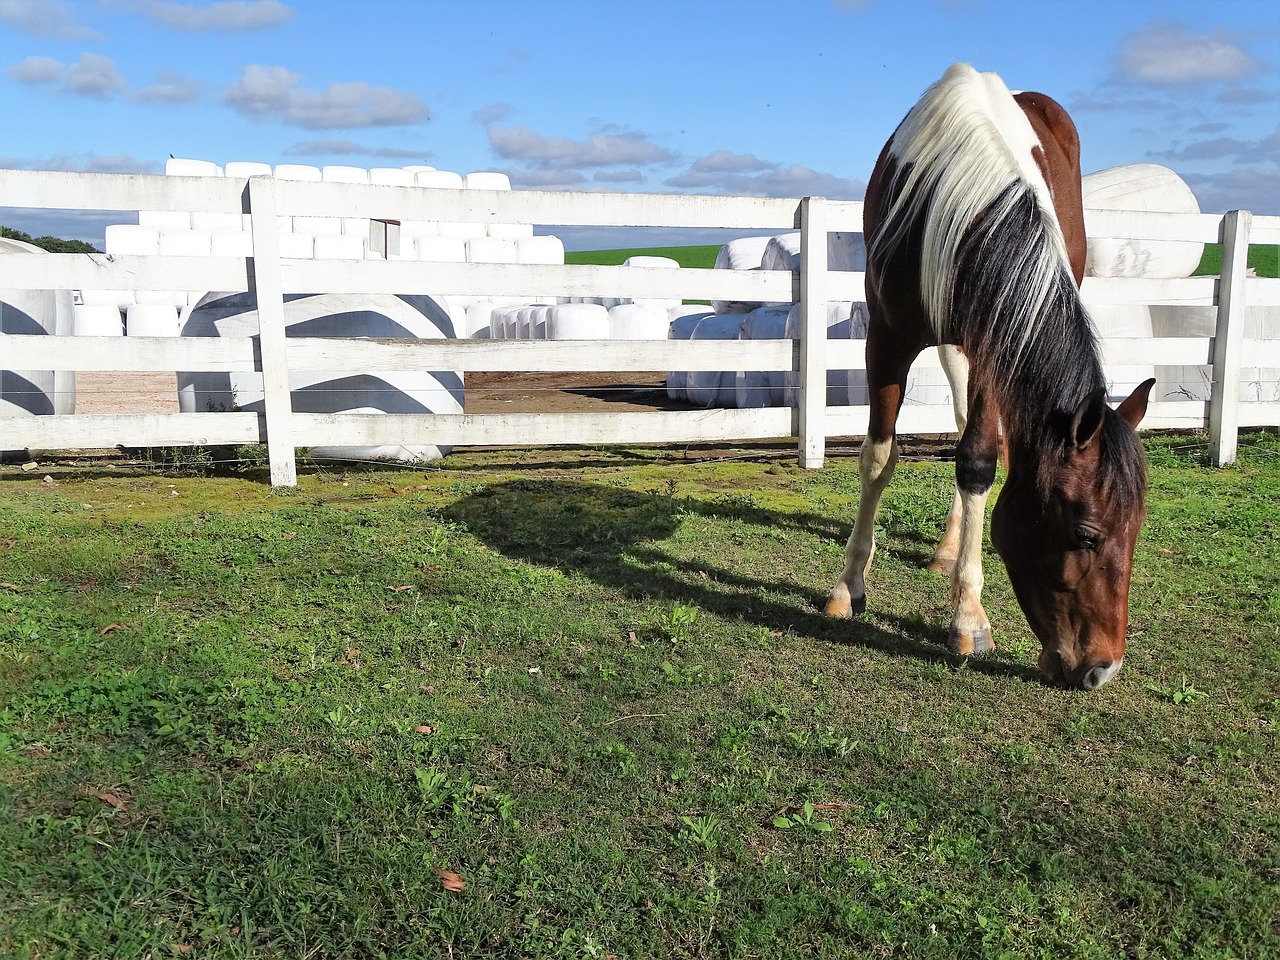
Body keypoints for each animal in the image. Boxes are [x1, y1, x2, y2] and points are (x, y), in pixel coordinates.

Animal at [824, 62, 1157, 691]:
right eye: (1086, 534)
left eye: (1138, 530)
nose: (1103, 669)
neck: (970, 200)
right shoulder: (886, 339)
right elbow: (878, 456)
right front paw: (848, 586)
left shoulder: (999, 342)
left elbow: (978, 462)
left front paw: (968, 616)